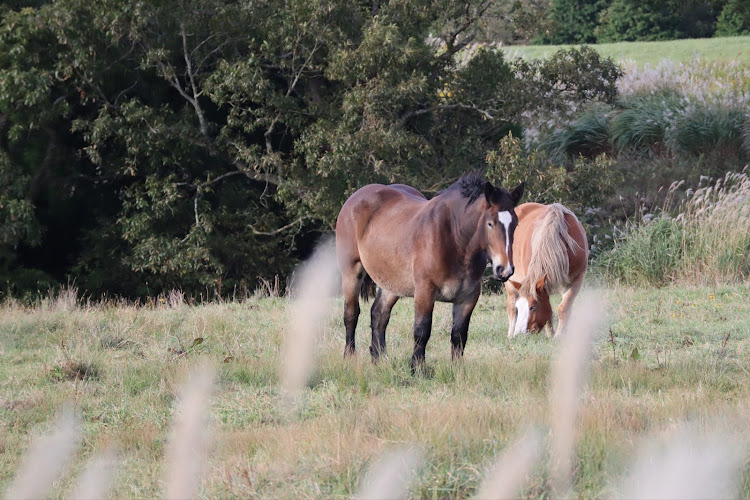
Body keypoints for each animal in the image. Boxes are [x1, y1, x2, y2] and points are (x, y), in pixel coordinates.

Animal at [338, 172, 524, 372]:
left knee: (379, 315)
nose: (504, 269)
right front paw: (417, 368)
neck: (455, 239)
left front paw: (456, 370)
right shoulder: (425, 291)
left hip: (391, 283)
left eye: (515, 225)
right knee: (351, 314)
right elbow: (422, 330)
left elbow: (459, 334)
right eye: (490, 223)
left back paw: (380, 360)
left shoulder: (468, 297)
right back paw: (349, 357)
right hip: (352, 272)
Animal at [508, 203, 592, 340]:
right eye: (519, 307)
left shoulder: (575, 282)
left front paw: (559, 335)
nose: (519, 335)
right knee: (510, 308)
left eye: (532, 307)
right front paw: (551, 334)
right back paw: (510, 334)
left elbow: (563, 309)